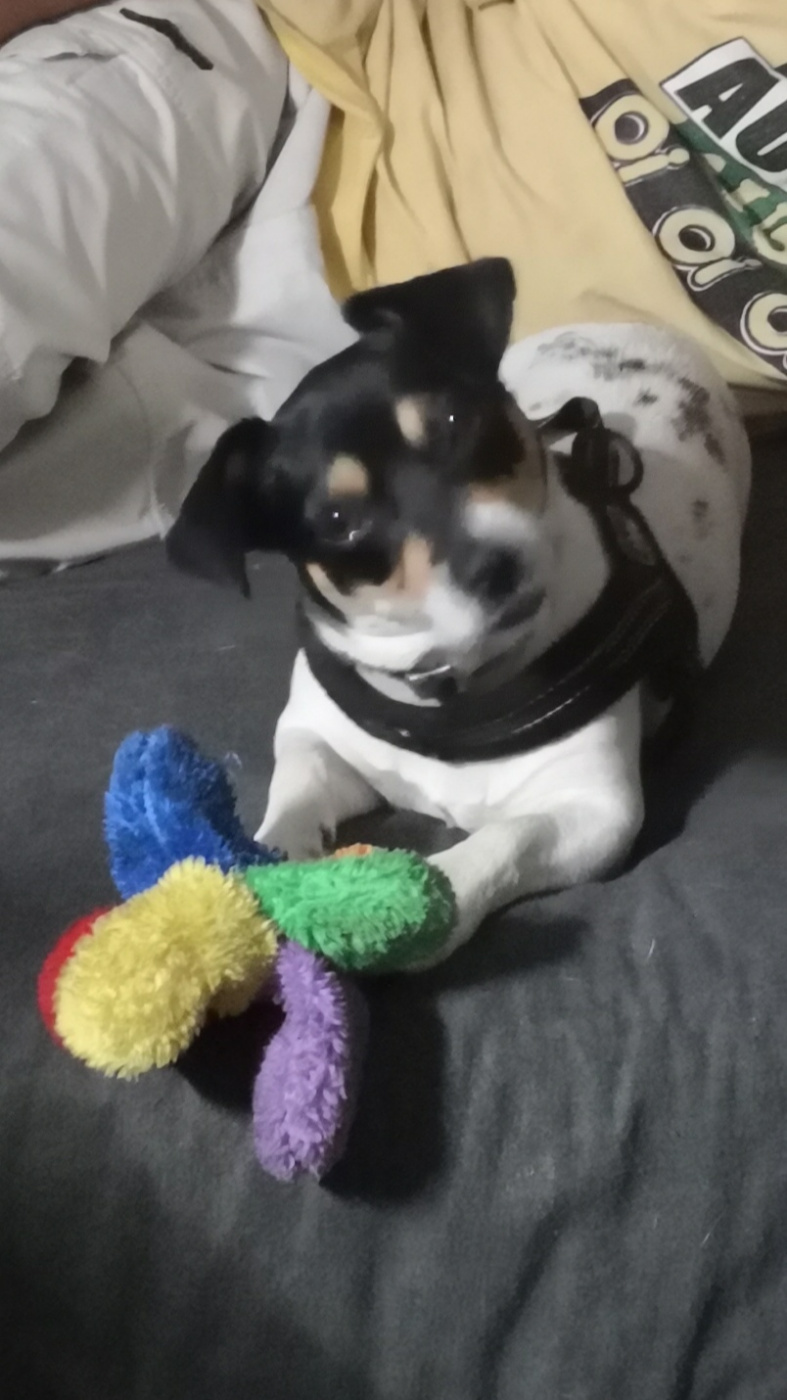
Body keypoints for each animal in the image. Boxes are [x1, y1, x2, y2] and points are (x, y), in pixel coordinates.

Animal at [167, 259, 751, 964]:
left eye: (454, 421)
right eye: (336, 520)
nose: (496, 566)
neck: (452, 689)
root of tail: (633, 326)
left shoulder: (595, 810)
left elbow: (502, 842)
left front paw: (410, 911)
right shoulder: (315, 736)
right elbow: (293, 793)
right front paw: (271, 869)